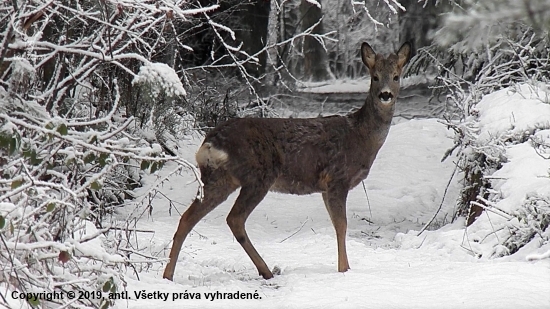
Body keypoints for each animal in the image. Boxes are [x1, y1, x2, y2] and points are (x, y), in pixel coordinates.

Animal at [164, 40, 414, 280]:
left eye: (396, 76)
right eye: (374, 76)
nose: (385, 95)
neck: (361, 136)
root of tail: (209, 144)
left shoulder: (326, 187)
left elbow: (337, 225)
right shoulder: (337, 178)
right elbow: (342, 226)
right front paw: (344, 270)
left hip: (219, 179)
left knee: (187, 218)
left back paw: (168, 275)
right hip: (258, 176)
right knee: (234, 218)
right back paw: (265, 270)